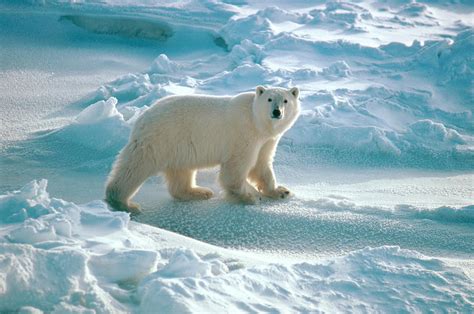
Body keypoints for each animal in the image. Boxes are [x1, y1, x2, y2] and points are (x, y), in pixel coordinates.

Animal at [105, 86, 300, 211]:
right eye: (269, 99)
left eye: (285, 100)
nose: (276, 112)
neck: (256, 121)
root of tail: (143, 116)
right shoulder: (244, 134)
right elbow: (236, 168)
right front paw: (249, 196)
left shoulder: (266, 140)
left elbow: (261, 165)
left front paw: (281, 191)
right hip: (160, 138)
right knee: (135, 167)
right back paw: (123, 203)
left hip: (178, 146)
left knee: (181, 173)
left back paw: (199, 192)